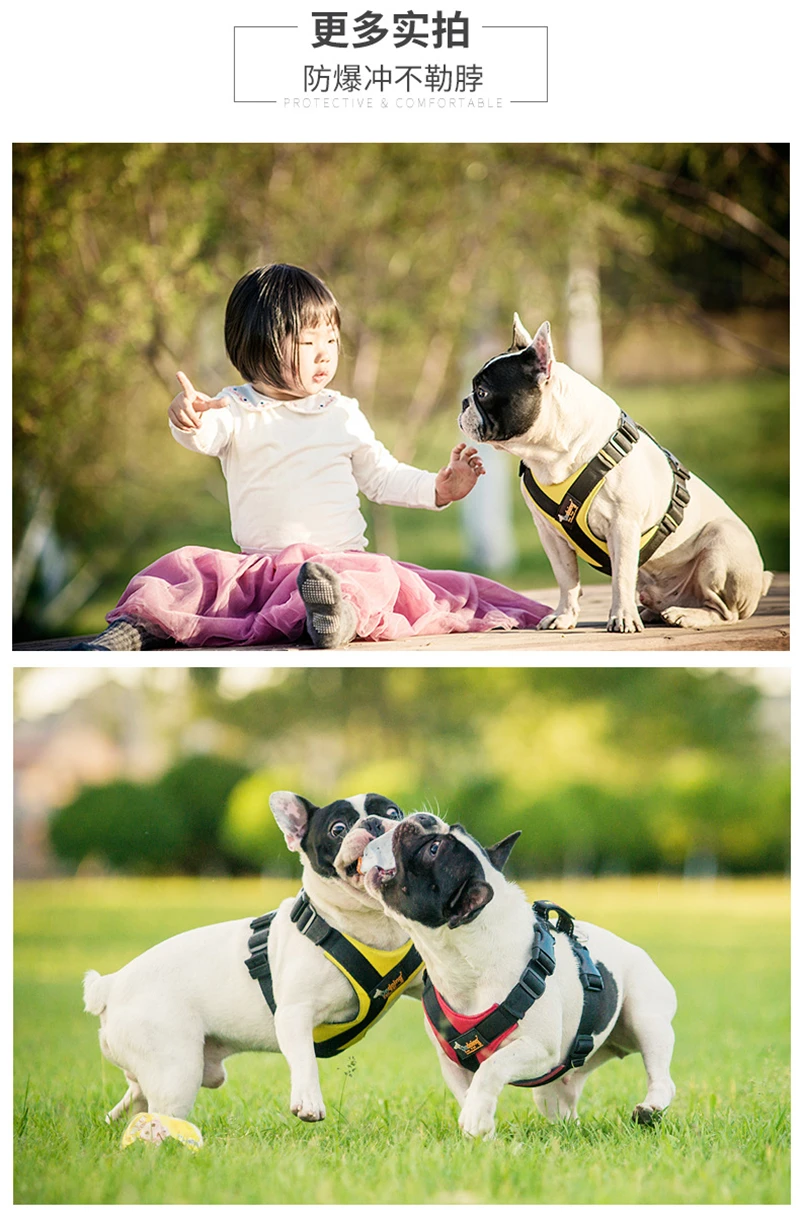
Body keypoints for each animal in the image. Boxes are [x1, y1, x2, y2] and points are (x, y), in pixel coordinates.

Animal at [459, 315, 773, 635]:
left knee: (724, 611)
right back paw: (654, 611)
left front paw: (623, 618)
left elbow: (621, 576)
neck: (552, 454)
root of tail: (761, 580)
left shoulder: (623, 525)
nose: (464, 402)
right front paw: (564, 616)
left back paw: (686, 615)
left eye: (482, 392)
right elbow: (566, 578)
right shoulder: (550, 534)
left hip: (722, 542)